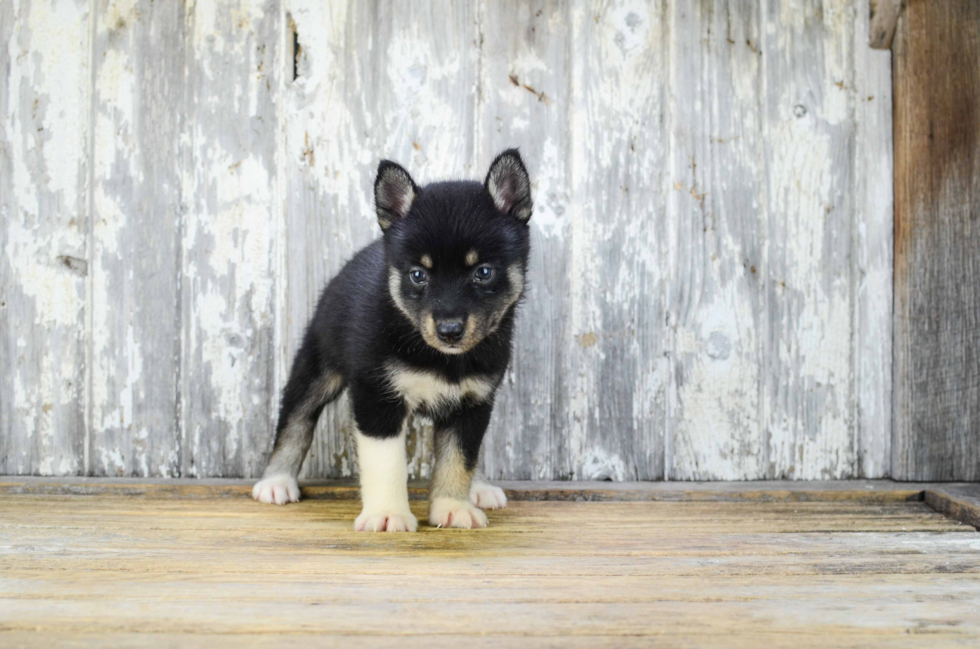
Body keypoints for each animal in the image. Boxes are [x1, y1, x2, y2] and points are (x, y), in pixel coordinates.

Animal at [249, 149, 532, 528]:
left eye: (483, 272)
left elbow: (459, 458)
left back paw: (480, 486)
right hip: (317, 367)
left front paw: (452, 506)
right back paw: (277, 480)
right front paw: (386, 514)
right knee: (296, 419)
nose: (449, 330)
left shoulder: (473, 403)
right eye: (418, 275)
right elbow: (386, 463)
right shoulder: (376, 397)